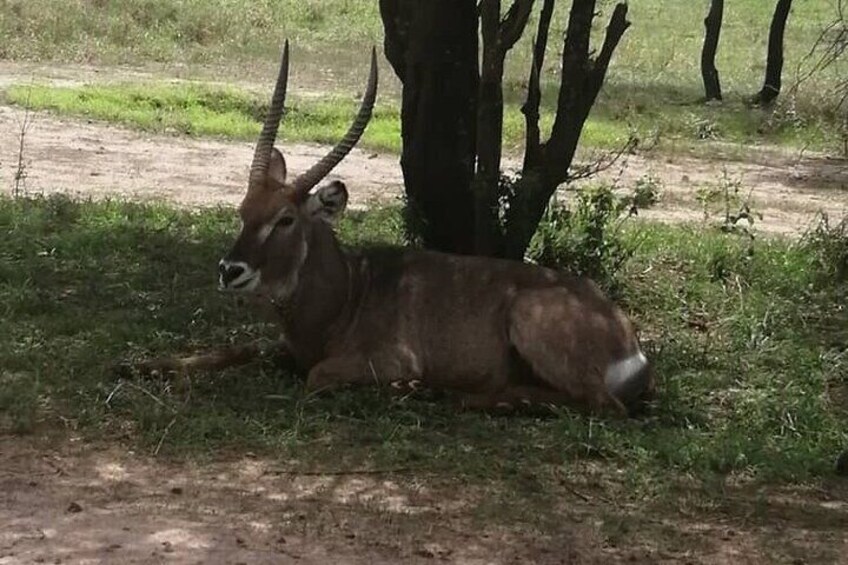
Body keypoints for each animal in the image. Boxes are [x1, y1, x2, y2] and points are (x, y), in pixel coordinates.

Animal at [144, 43, 656, 414]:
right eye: (243, 210)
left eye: (285, 219)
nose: (231, 270)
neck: (348, 291)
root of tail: (629, 342)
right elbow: (232, 350)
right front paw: (144, 365)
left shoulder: (381, 357)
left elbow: (316, 376)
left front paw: (404, 385)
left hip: (529, 319)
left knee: (600, 404)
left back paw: (457, 396)